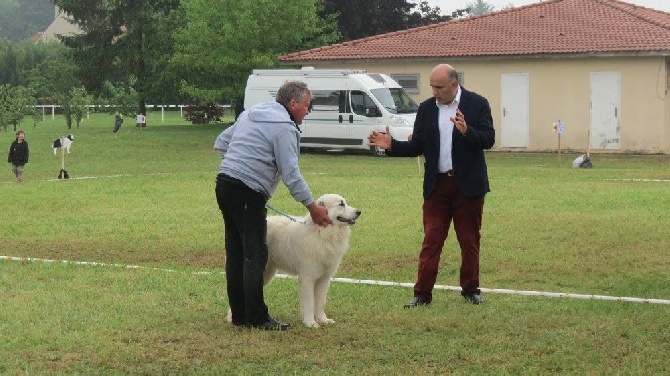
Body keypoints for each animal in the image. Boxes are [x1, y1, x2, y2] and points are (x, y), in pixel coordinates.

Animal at [228, 194, 362, 328]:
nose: (359, 212)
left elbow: (320, 303)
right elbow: (310, 303)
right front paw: (310, 323)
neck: (322, 233)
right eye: (341, 204)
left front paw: (323, 320)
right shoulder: (307, 278)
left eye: (345, 203)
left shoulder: (324, 279)